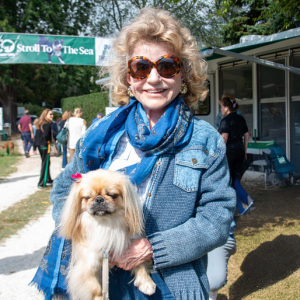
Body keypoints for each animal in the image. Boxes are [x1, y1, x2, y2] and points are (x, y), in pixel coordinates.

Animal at [59, 170, 157, 298]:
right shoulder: (87, 265)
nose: (99, 199)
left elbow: (140, 264)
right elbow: (95, 288)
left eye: (112, 195)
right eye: (87, 197)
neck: (105, 223)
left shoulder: (131, 247)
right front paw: (100, 298)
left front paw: (146, 283)